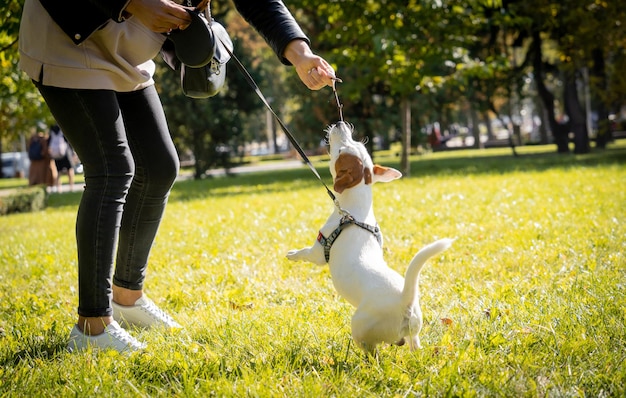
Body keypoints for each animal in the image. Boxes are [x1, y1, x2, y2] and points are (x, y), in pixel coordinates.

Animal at [286, 122, 450, 354]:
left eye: (340, 151)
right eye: (357, 142)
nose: (340, 123)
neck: (353, 212)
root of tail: (405, 301)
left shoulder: (318, 251)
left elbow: (304, 253)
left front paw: (292, 254)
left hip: (360, 325)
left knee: (371, 351)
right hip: (414, 333)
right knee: (414, 345)